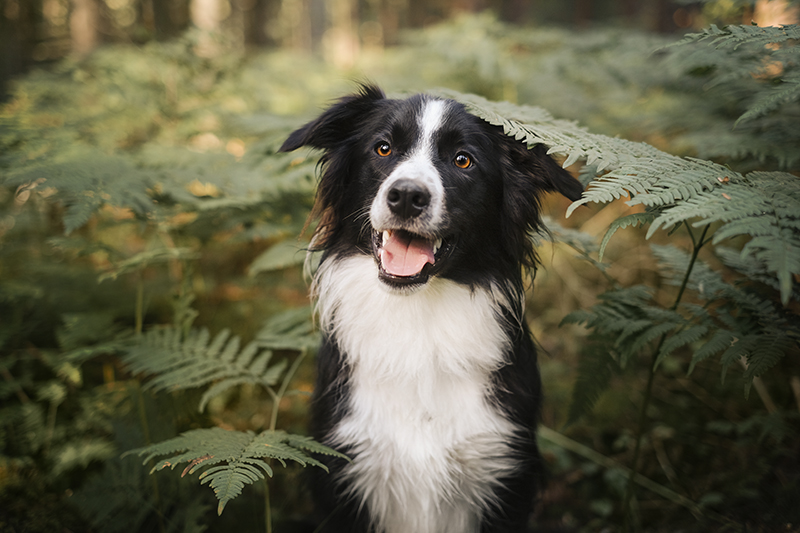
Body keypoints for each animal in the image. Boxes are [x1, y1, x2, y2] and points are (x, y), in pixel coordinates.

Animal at [282, 85, 580, 528]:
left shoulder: (503, 468)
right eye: (383, 148)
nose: (406, 196)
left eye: (463, 160)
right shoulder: (346, 468)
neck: (418, 319)